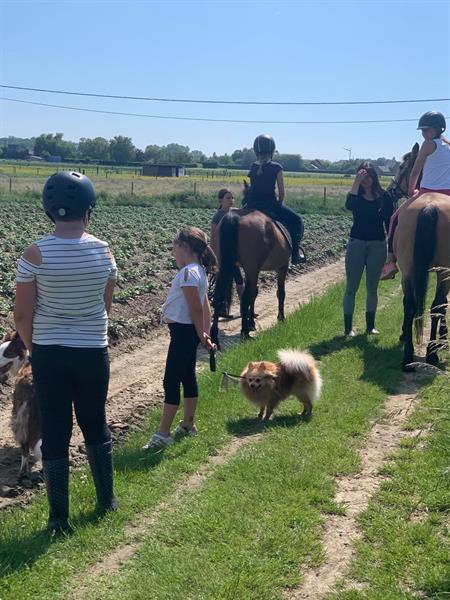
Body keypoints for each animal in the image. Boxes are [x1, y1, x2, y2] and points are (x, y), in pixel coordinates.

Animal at [212, 209, 292, 344]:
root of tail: (235, 216)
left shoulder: (255, 271)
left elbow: (254, 294)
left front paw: (252, 323)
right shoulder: (282, 266)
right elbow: (280, 292)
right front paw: (281, 318)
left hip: (225, 266)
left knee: (219, 295)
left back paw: (214, 333)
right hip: (252, 269)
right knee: (245, 298)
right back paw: (244, 333)